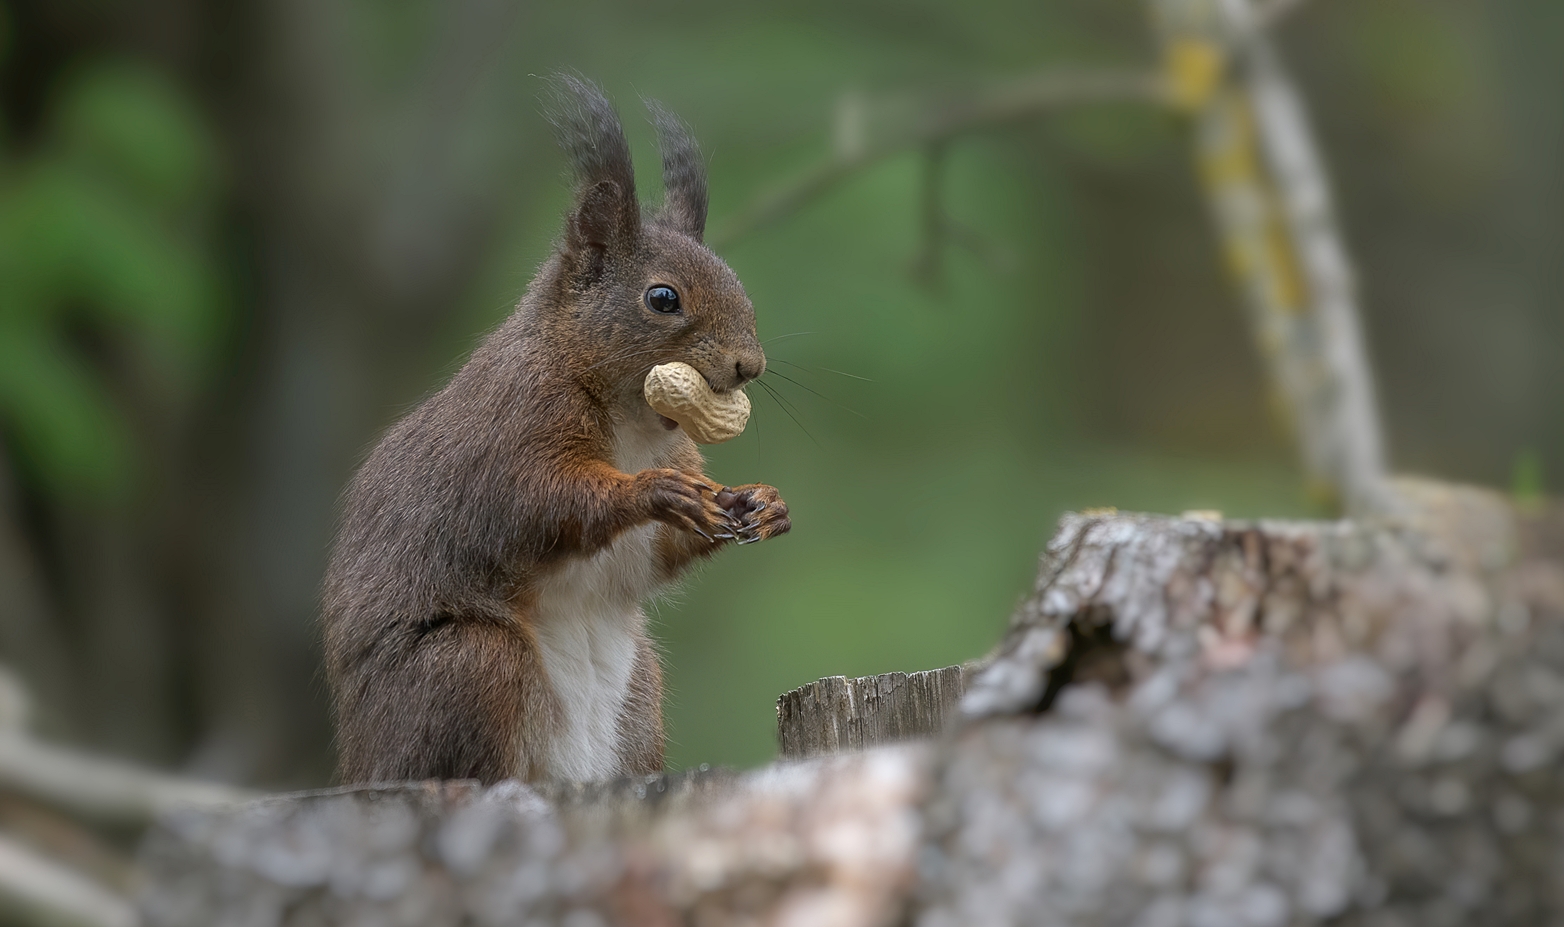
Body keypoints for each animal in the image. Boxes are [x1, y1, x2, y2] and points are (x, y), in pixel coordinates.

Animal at [326, 75, 794, 781]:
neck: (634, 421)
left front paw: (758, 503)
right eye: (663, 298)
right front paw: (651, 492)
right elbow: (538, 500)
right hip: (468, 665)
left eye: (735, 281)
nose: (750, 365)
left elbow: (661, 551)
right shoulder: (512, 426)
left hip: (641, 693)